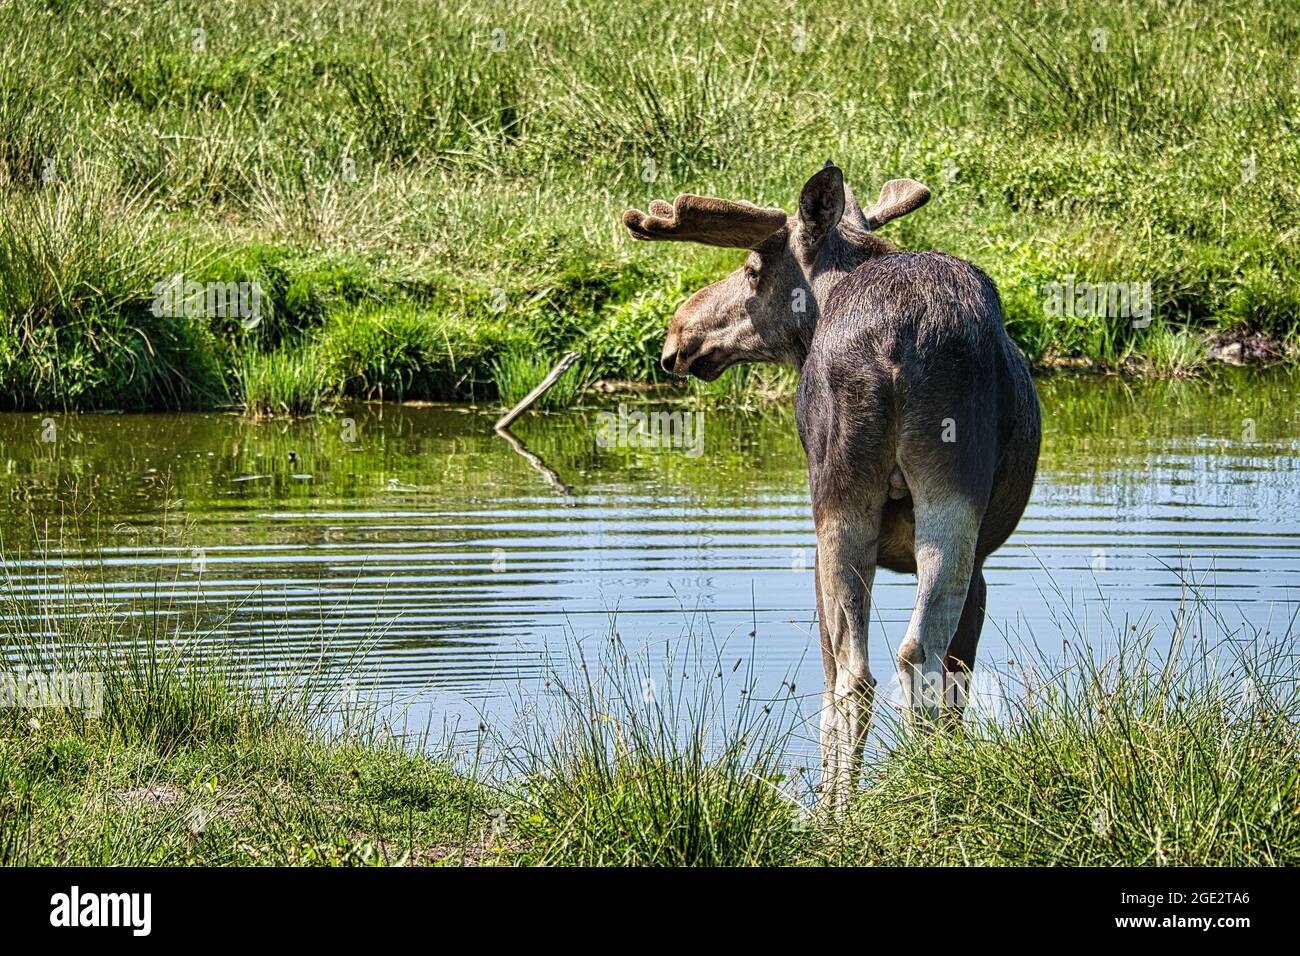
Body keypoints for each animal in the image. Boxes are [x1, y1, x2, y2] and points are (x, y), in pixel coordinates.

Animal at [624, 164, 1040, 801]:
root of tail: (895, 340)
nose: (678, 335)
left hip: (851, 498)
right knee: (896, 659)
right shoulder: (982, 564)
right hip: (932, 495)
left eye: (752, 267)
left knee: (862, 670)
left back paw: (847, 804)